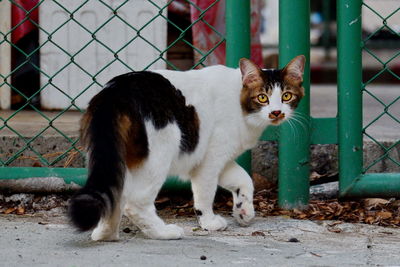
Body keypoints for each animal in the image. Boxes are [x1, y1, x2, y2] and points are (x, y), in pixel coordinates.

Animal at [69, 55, 306, 242]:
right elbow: (205, 194)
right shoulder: (210, 160)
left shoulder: (221, 159)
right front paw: (209, 222)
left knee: (114, 194)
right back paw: (163, 232)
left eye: (286, 96)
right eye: (262, 97)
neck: (241, 105)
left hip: (116, 159)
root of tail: (114, 93)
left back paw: (106, 234)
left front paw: (243, 210)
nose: (276, 112)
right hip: (161, 152)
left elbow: (244, 180)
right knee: (135, 203)